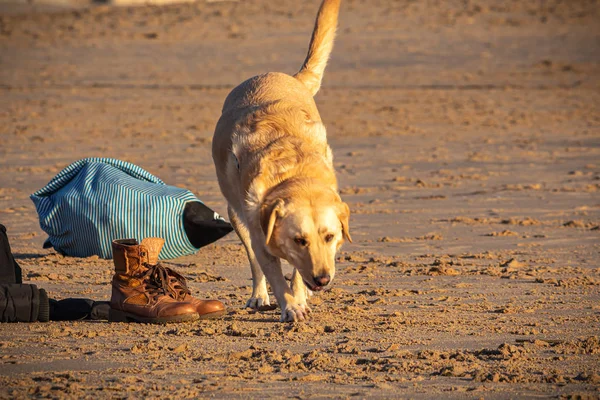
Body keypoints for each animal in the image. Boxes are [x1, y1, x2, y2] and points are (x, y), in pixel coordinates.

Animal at [213, 0, 350, 320]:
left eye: (330, 237)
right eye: (300, 240)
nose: (323, 280)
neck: (293, 173)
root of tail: (279, 75)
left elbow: (297, 273)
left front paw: (300, 296)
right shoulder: (259, 232)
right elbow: (274, 274)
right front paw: (291, 306)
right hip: (236, 215)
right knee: (255, 263)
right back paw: (259, 296)